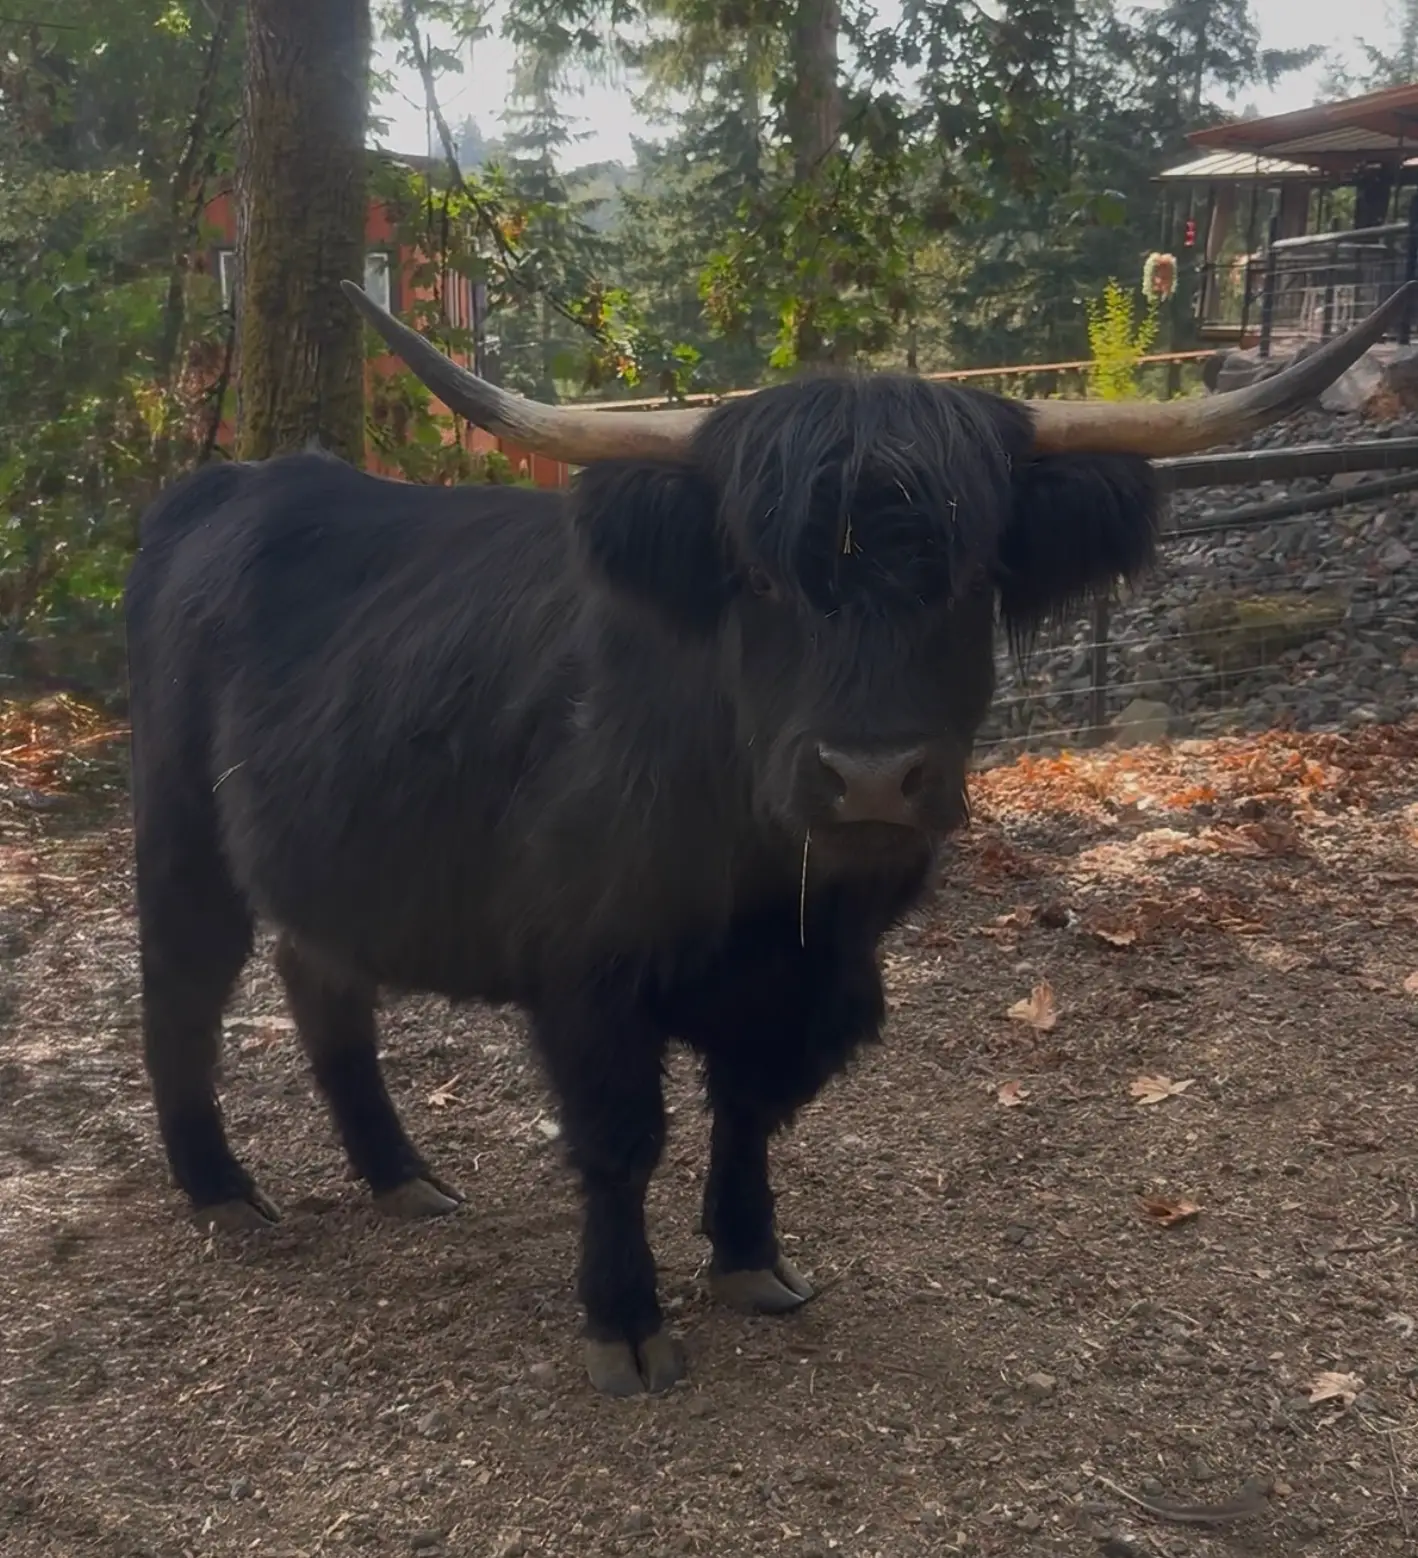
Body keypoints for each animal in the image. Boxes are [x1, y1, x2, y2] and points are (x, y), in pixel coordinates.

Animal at [124, 280, 1412, 1396]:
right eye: (755, 577)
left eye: (971, 576)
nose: (871, 775)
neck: (772, 895)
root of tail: (230, 484)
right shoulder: (586, 976)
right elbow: (619, 1140)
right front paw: (624, 1322)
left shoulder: (812, 982)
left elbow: (748, 1112)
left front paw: (749, 1259)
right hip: (180, 828)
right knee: (182, 989)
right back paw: (223, 1190)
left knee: (318, 977)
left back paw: (400, 1176)